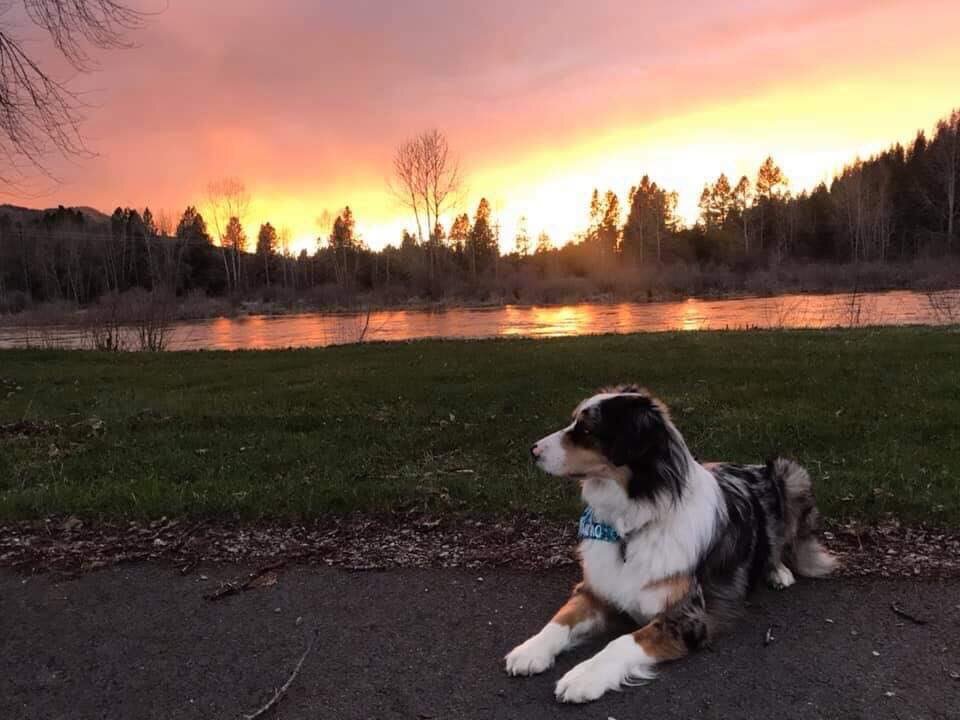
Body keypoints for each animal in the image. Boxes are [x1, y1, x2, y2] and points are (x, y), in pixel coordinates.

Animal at [502, 386, 832, 704]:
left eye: (586, 428)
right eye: (575, 422)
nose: (532, 450)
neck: (630, 523)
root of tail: (751, 465)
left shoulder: (688, 618)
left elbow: (621, 642)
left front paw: (584, 677)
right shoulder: (597, 590)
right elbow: (562, 618)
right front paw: (530, 650)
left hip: (791, 475)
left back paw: (779, 572)